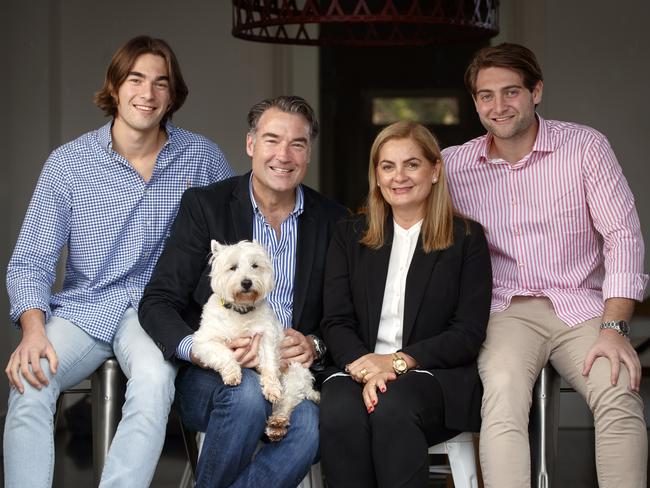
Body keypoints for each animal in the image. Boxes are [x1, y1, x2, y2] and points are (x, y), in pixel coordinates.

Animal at [191, 240, 320, 442]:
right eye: (233, 267)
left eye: (254, 266)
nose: (246, 282)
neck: (240, 310)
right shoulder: (203, 342)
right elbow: (223, 353)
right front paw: (232, 374)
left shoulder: (266, 338)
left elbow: (269, 365)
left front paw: (271, 389)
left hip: (295, 372)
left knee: (288, 400)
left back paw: (277, 423)